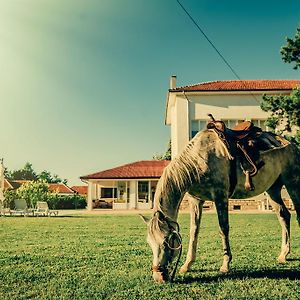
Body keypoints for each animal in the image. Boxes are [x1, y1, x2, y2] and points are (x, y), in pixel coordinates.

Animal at [141, 129, 300, 284]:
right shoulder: (196, 200)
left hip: (292, 183)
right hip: (273, 189)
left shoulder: (220, 196)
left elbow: (223, 229)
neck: (198, 160)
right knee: (284, 216)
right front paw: (187, 265)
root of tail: (291, 145)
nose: (158, 277)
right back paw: (283, 254)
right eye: (149, 242)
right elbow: (194, 231)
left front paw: (225, 265)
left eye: (167, 241)